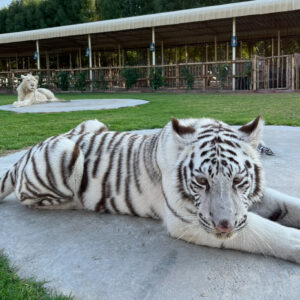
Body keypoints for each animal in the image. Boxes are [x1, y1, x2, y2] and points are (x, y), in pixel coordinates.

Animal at [1, 116, 300, 264]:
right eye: (201, 181)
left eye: (238, 180)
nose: (224, 226)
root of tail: (23, 155)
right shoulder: (189, 221)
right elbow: (268, 232)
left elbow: (286, 205)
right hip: (64, 151)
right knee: (31, 198)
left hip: (92, 125)